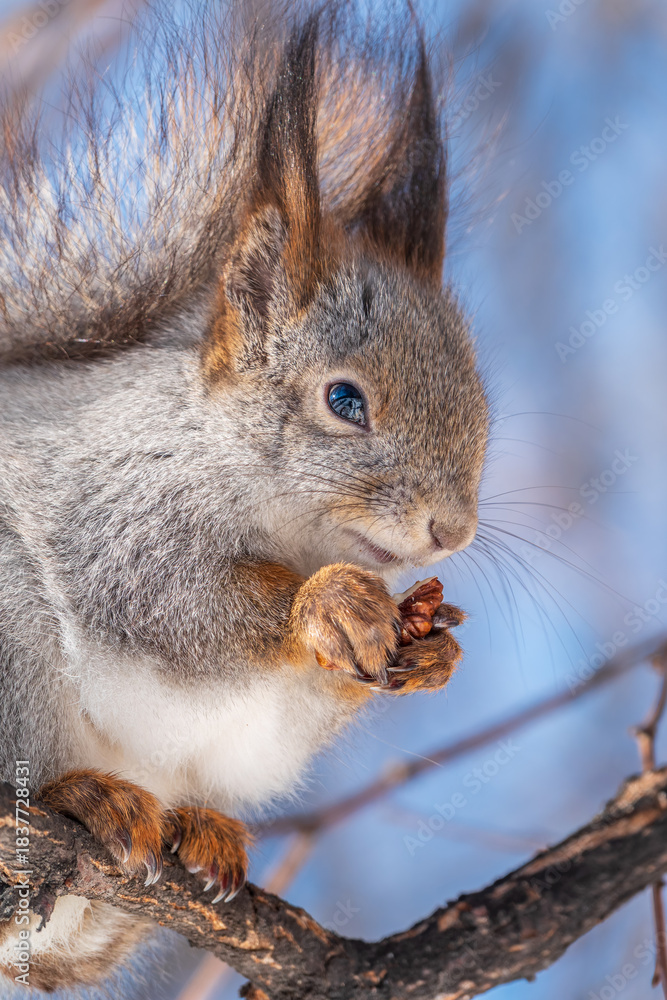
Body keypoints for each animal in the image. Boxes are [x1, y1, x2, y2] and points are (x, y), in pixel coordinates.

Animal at [0, 0, 489, 992]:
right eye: (344, 401)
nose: (449, 531)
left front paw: (432, 651)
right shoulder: (118, 511)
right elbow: (176, 604)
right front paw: (327, 605)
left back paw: (198, 832)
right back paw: (85, 795)